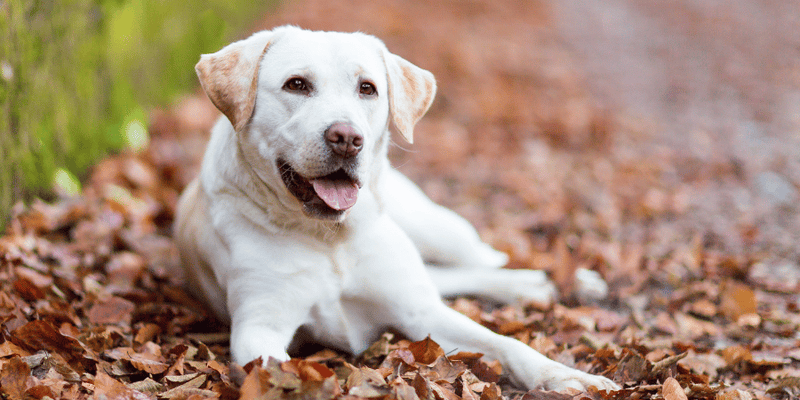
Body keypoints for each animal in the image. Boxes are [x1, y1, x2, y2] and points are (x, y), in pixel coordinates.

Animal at [175, 25, 620, 394]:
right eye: (296, 84)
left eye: (367, 88)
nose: (346, 138)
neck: (330, 238)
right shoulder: (259, 328)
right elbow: (283, 370)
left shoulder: (420, 313)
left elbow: (507, 343)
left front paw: (567, 376)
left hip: (437, 228)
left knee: (485, 258)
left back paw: (561, 280)